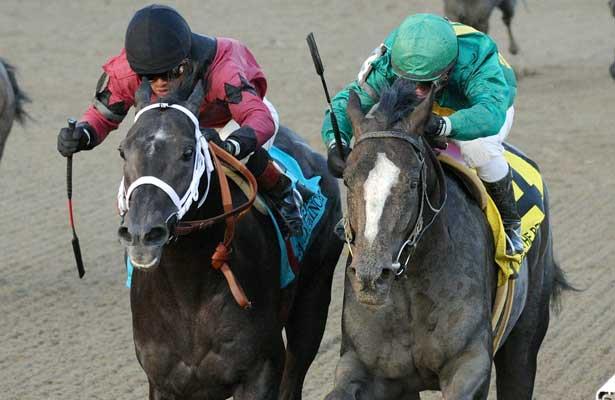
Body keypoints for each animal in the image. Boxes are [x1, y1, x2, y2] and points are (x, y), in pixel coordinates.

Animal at [118, 79, 344, 398]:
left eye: (187, 152)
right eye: (123, 151)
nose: (142, 232)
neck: (188, 293)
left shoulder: (261, 369)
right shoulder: (163, 382)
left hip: (314, 296)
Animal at [324, 79, 572, 400]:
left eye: (412, 182)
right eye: (348, 179)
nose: (371, 276)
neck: (410, 289)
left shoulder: (470, 361)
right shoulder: (365, 365)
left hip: (525, 335)